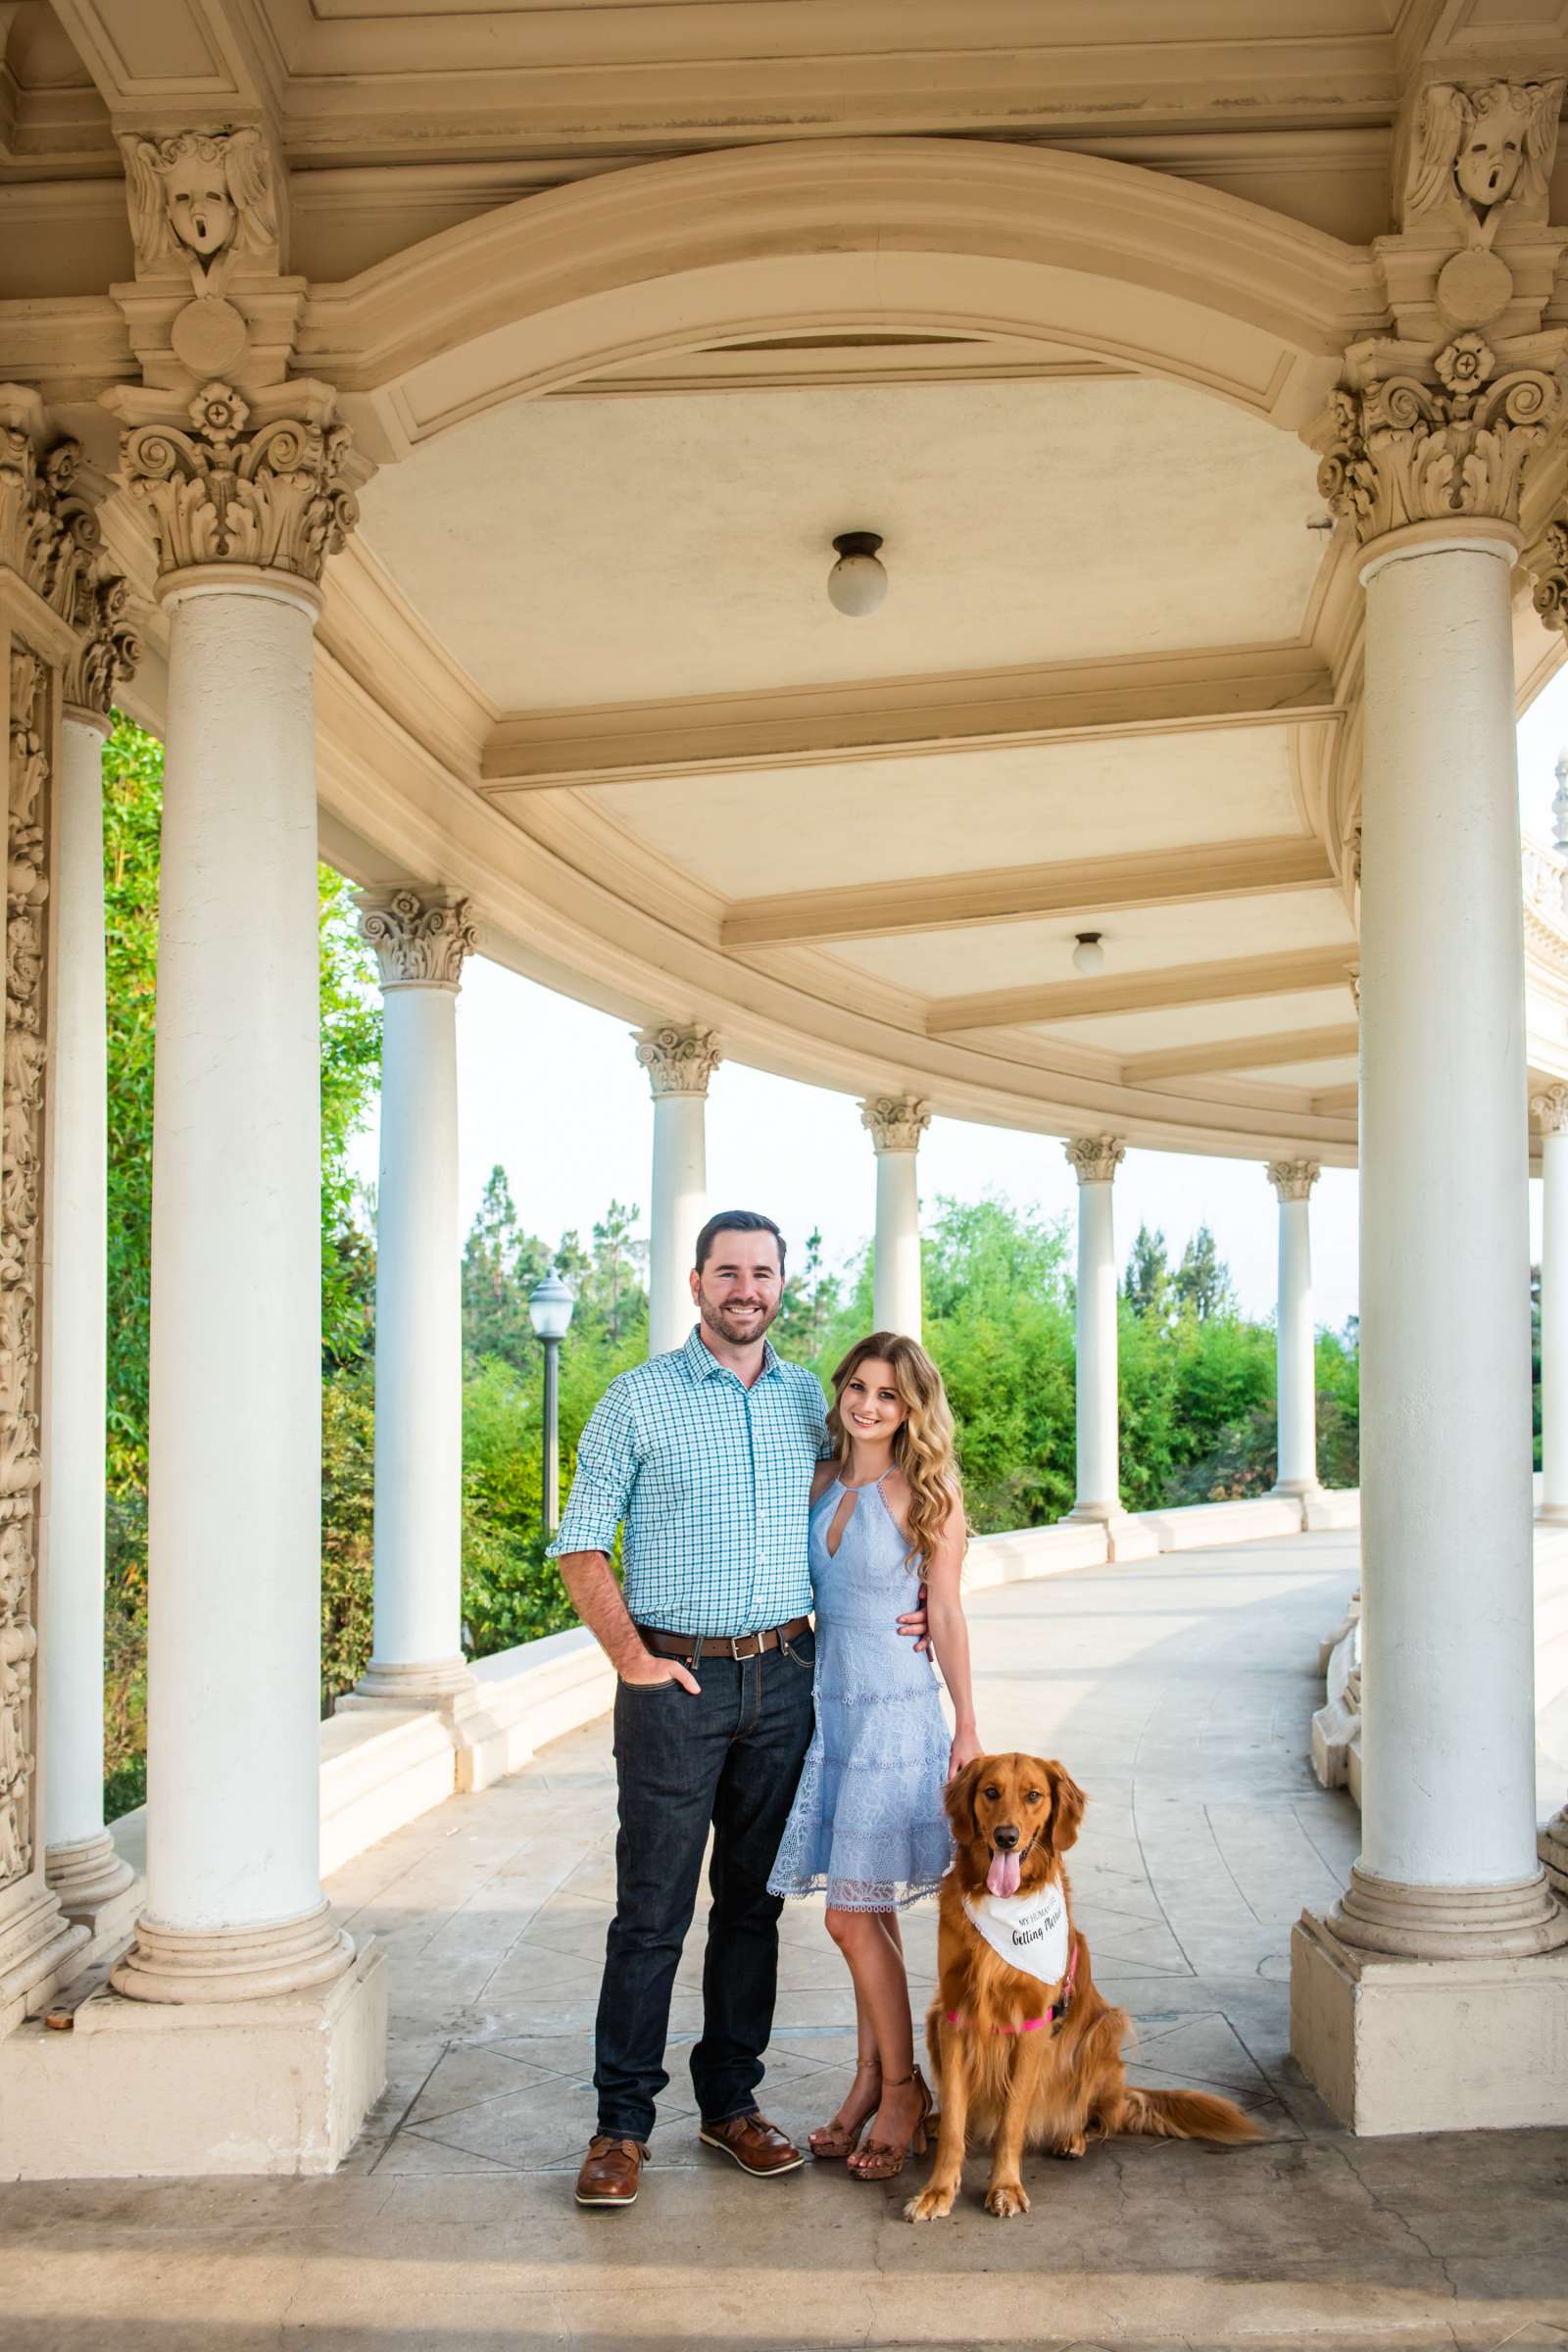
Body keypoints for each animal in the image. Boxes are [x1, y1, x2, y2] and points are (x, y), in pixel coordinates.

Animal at [906, 1749, 1259, 2220]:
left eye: (1034, 1795)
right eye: (991, 1792)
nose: (1006, 1837)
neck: (1006, 1905)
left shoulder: (1033, 2025)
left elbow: (1013, 2120)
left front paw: (1005, 2186)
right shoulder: (954, 2014)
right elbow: (954, 2118)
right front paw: (938, 2190)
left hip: (1103, 2029)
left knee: (1094, 2116)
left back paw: (1070, 2136)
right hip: (933, 2022)